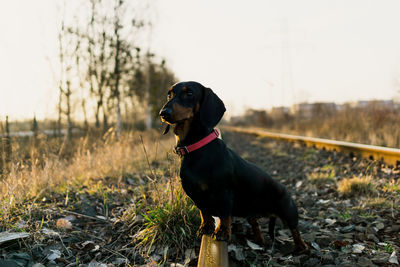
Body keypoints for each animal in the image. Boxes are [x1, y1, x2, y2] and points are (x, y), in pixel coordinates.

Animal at [159, 81, 306, 253]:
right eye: (169, 94)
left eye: (189, 93)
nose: (163, 113)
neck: (197, 149)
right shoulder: (196, 195)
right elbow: (204, 212)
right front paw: (206, 228)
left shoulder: (224, 193)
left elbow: (224, 214)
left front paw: (222, 232)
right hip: (250, 212)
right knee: (255, 224)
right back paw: (258, 239)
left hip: (288, 210)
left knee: (295, 230)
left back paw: (302, 247)